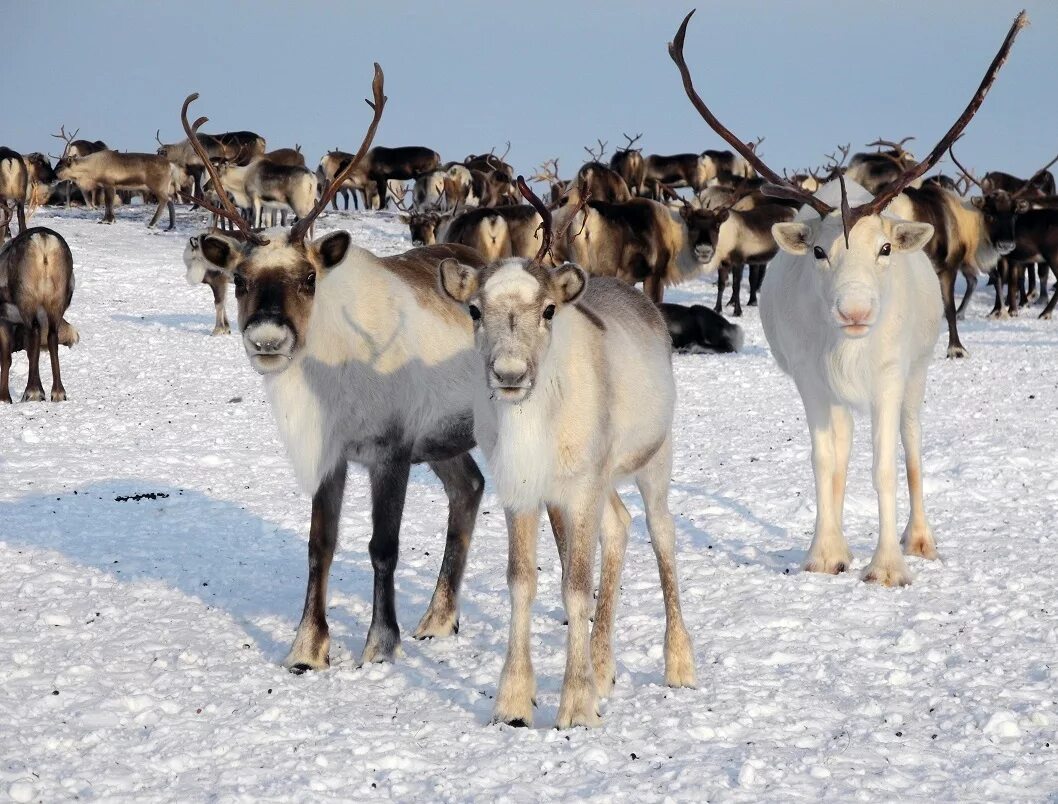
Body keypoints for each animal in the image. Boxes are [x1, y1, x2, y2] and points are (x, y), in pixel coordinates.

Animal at [438, 180, 694, 727]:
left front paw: (577, 704)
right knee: (619, 526)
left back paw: (680, 665)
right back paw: (604, 667)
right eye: (474, 310)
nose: (510, 374)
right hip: (599, 482)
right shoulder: (523, 491)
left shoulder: (580, 491)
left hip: (652, 461)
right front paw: (513, 701)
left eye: (548, 310)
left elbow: (576, 588)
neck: (532, 423)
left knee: (662, 535)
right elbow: (522, 583)